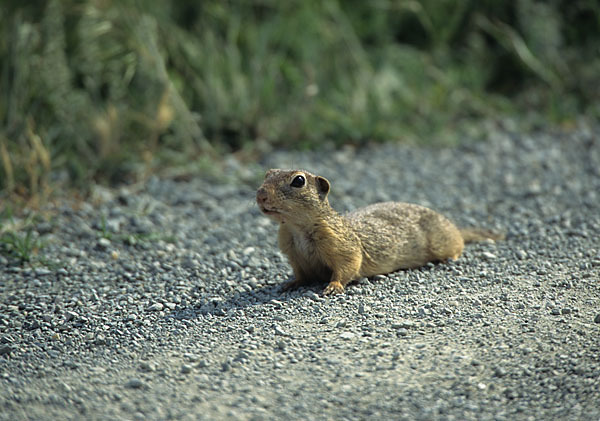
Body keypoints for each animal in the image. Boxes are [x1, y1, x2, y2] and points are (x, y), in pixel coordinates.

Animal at [254, 169, 502, 294]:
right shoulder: (293, 253)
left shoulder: (339, 244)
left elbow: (347, 265)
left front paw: (333, 287)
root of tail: (454, 227)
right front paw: (288, 285)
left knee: (458, 245)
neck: (295, 227)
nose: (260, 194)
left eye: (298, 180)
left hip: (445, 241)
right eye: (267, 174)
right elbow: (300, 275)